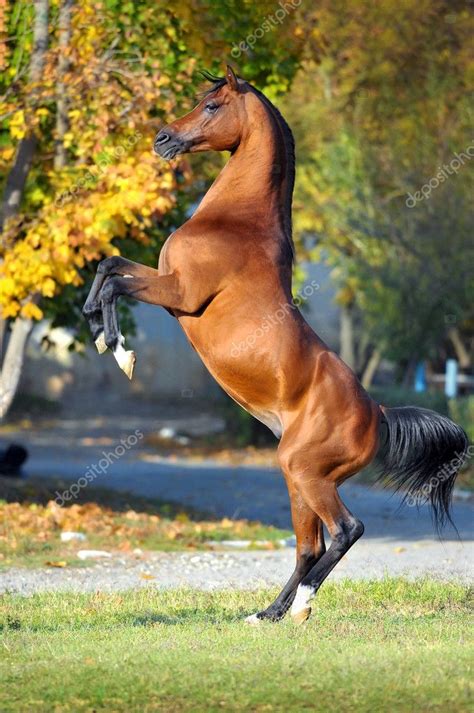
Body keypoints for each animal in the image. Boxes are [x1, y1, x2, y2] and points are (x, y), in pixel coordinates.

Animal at [83, 67, 468, 624]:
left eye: (212, 105)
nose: (163, 139)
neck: (236, 221)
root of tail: (377, 413)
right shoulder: (163, 281)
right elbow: (108, 265)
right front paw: (94, 325)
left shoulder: (179, 292)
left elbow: (115, 281)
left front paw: (118, 349)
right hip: (299, 477)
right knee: (309, 546)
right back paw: (269, 614)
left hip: (306, 473)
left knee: (346, 531)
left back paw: (300, 606)